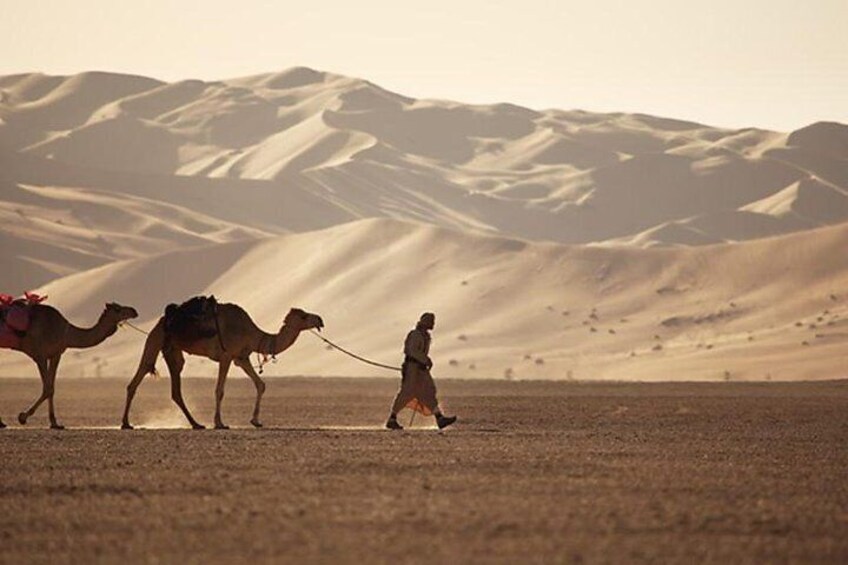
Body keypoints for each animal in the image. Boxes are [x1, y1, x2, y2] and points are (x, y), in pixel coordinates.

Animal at [122, 302, 324, 430]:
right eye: (304, 316)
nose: (320, 319)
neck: (252, 333)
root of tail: (162, 320)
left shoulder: (241, 358)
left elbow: (260, 384)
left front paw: (256, 421)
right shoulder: (226, 356)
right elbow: (219, 390)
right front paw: (219, 423)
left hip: (172, 349)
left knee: (174, 389)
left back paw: (196, 424)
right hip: (155, 339)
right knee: (141, 373)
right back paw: (125, 423)